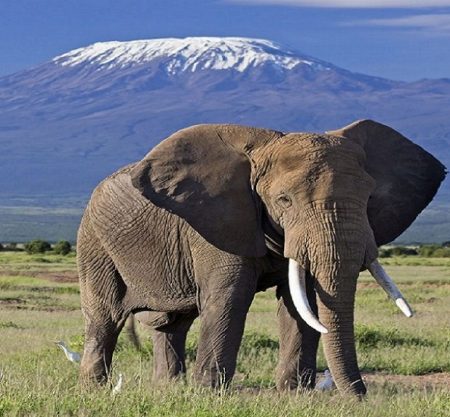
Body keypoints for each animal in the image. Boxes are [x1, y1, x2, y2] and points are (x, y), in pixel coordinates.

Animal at [75, 119, 444, 394]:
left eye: (368, 198)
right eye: (284, 200)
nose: (360, 396)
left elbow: (301, 303)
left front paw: (295, 394)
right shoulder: (216, 222)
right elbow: (230, 298)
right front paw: (210, 394)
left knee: (173, 323)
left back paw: (169, 387)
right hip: (93, 241)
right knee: (105, 316)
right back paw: (95, 388)